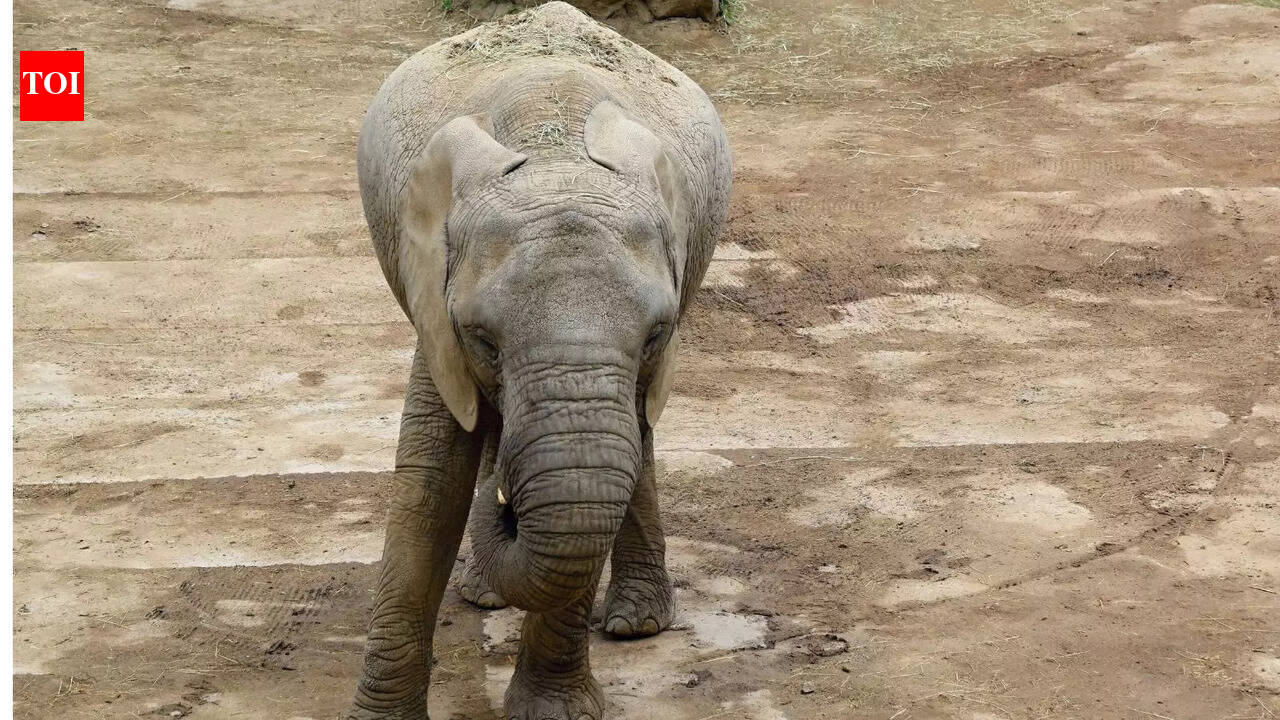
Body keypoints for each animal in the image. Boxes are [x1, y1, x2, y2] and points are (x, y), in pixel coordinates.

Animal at [348, 3, 732, 719]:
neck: (555, 152)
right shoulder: (433, 300)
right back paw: (486, 591)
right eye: (482, 338)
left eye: (657, 334)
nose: (508, 504)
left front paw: (554, 711)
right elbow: (432, 480)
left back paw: (635, 623)